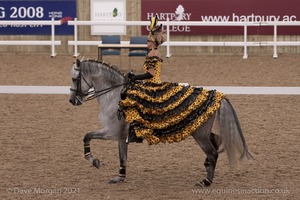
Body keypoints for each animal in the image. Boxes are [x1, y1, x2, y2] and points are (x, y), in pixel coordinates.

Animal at [69, 59, 252, 186]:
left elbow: (87, 136)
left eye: (74, 79)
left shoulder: (112, 132)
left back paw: (206, 181)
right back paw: (207, 167)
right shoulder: (121, 137)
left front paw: (94, 161)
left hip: (199, 134)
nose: (72, 100)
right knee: (217, 143)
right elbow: (122, 157)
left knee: (213, 152)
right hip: (203, 131)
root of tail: (217, 94)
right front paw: (120, 177)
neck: (115, 95)